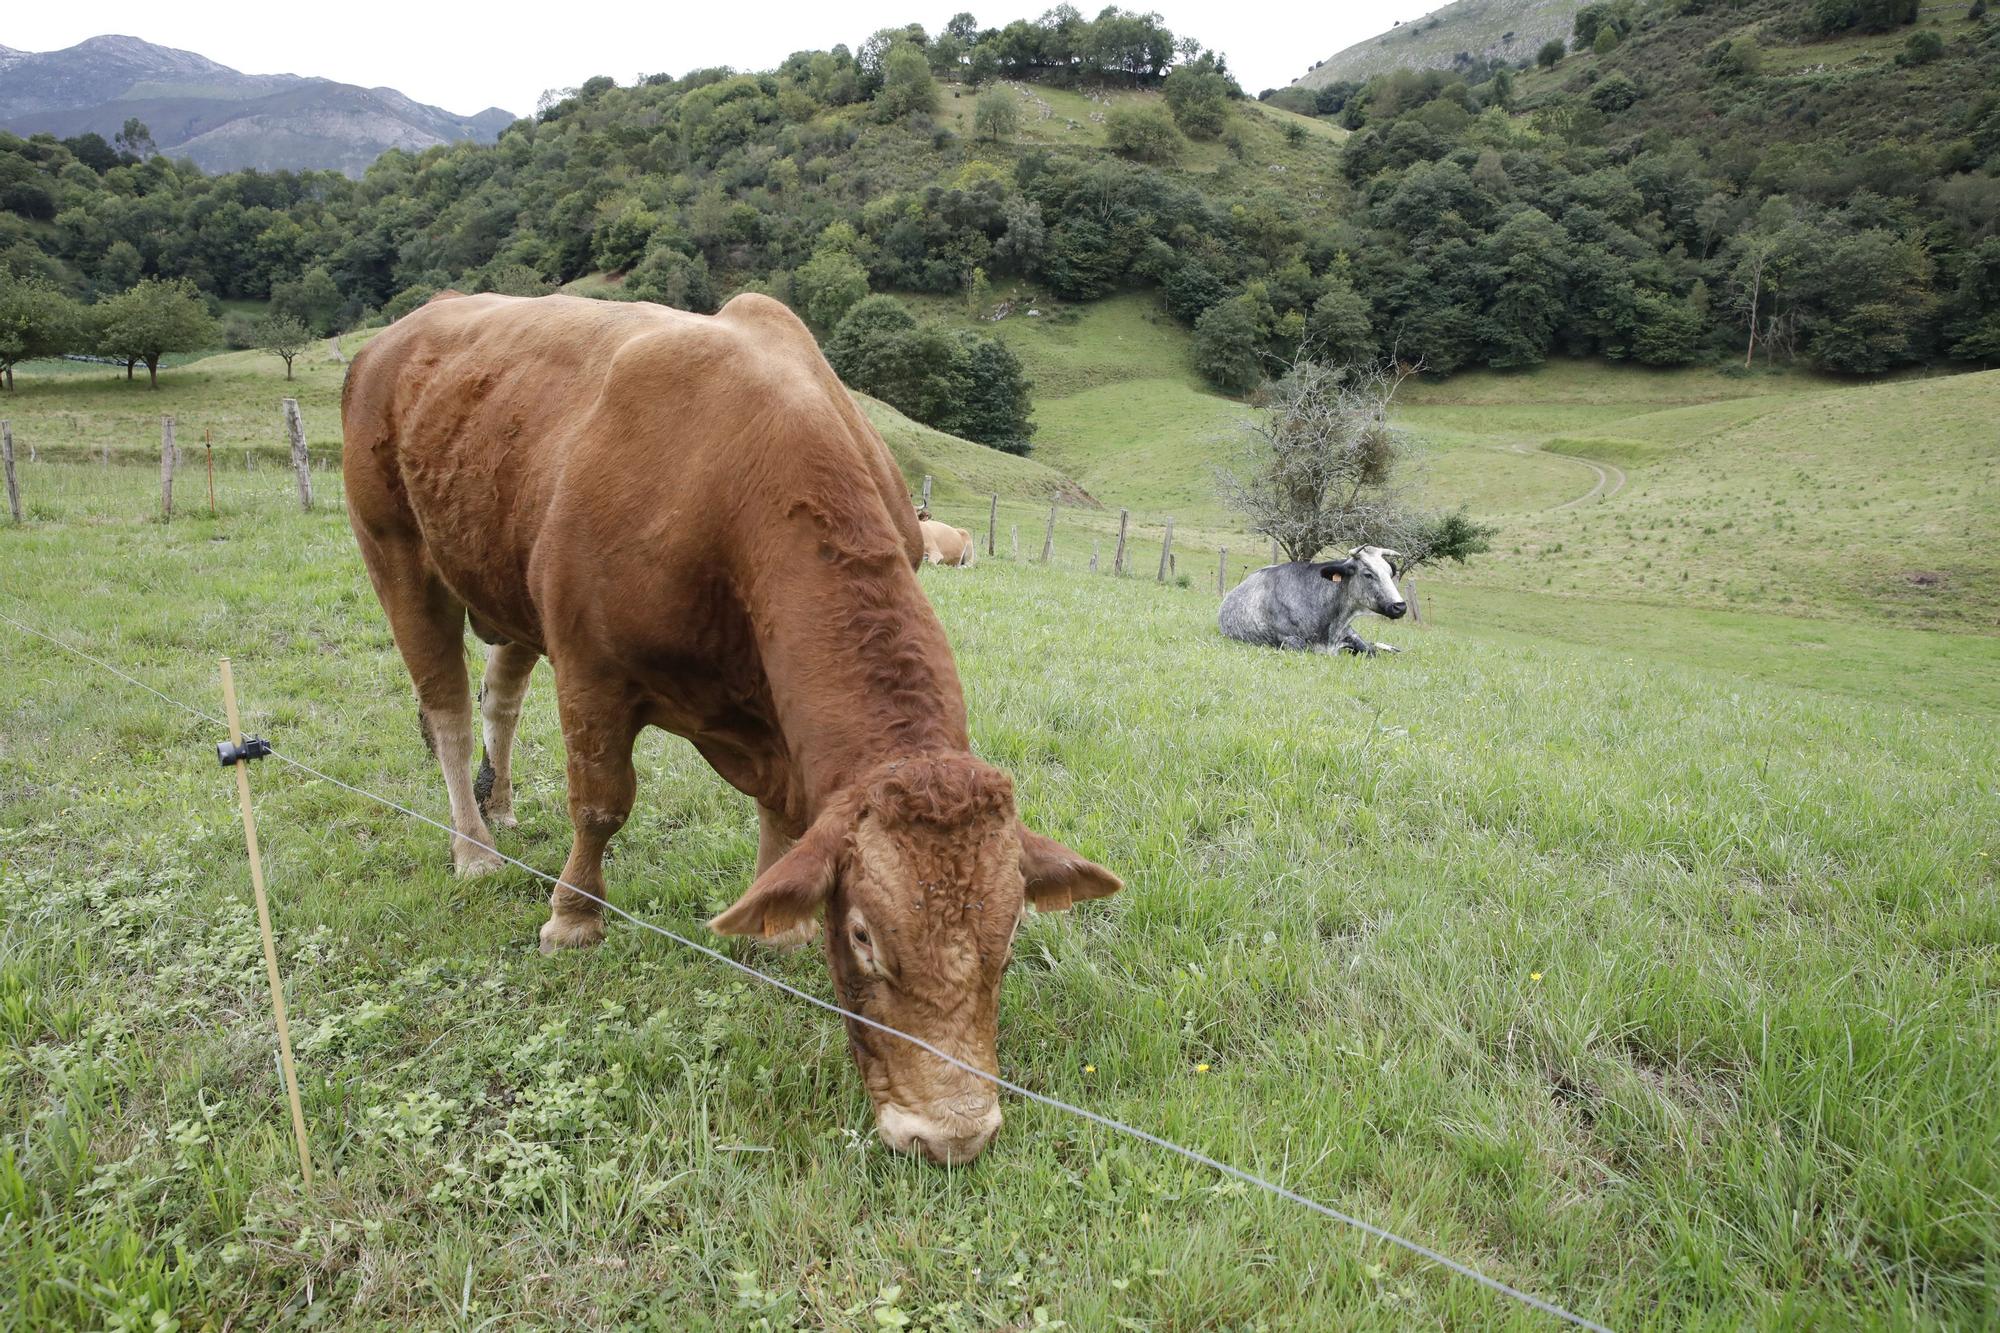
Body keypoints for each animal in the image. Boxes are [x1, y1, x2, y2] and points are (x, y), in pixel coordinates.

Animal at [346, 294, 1128, 1160]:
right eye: (863, 936)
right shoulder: (590, 666)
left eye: (1010, 935)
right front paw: (574, 917)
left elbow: (785, 809)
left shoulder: (769, 708)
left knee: (500, 695)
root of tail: (403, 329)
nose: (954, 1131)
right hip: (396, 553)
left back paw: (504, 806)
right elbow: (601, 802)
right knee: (448, 713)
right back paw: (475, 846)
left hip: (501, 582)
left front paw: (773, 925)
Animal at [1216, 544, 1408, 652]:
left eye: (1390, 573)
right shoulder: (1290, 641)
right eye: (1368, 574)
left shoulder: (1350, 634)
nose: (1400, 606)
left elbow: (1370, 650)